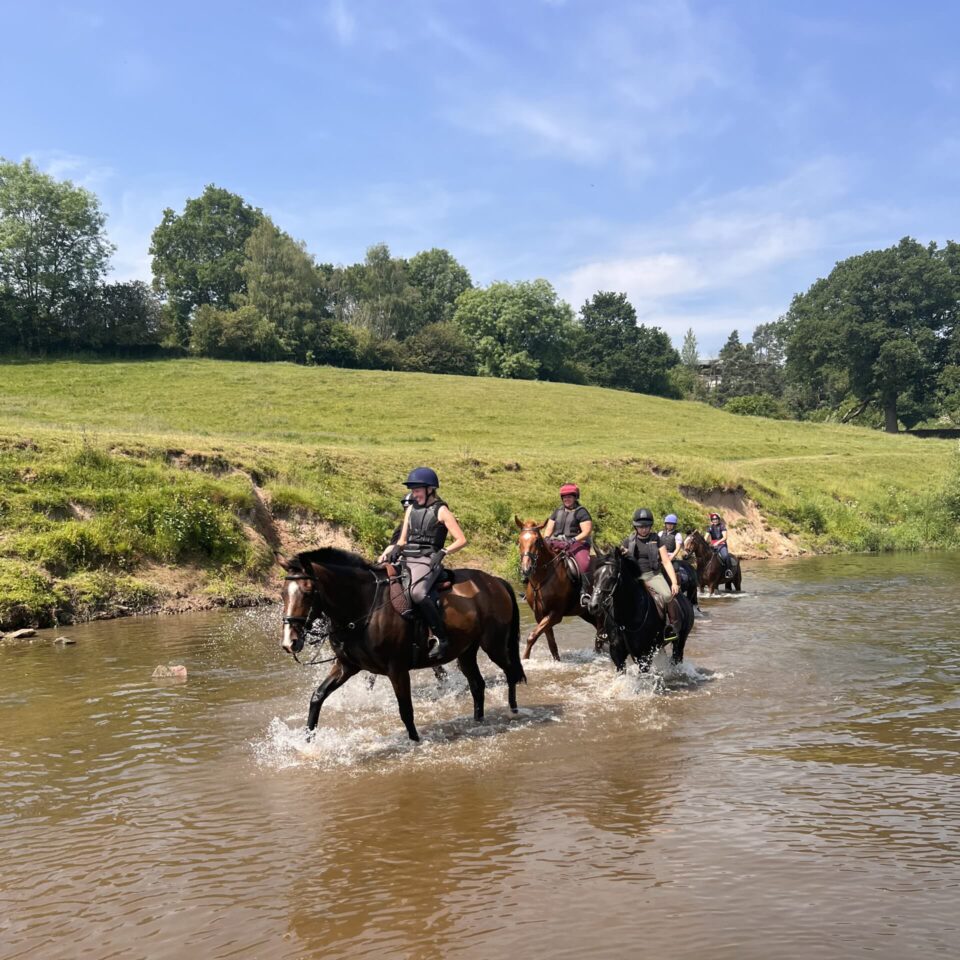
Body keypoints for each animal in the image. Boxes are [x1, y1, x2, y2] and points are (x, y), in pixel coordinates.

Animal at [278, 548, 526, 742]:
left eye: (308, 593)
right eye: (282, 594)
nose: (290, 642)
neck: (364, 605)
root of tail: (495, 581)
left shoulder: (396, 669)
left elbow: (405, 709)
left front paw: (415, 742)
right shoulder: (347, 666)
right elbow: (317, 697)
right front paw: (307, 742)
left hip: (493, 645)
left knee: (510, 672)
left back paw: (513, 711)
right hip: (466, 652)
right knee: (477, 685)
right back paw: (478, 721)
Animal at [515, 518, 602, 660]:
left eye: (536, 541)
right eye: (519, 540)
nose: (526, 569)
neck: (541, 580)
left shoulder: (555, 614)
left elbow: (532, 636)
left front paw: (525, 659)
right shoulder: (540, 615)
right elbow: (551, 643)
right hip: (586, 613)